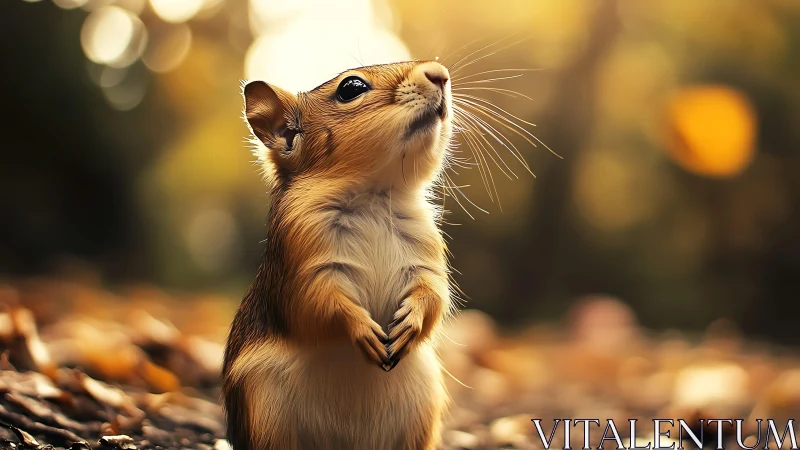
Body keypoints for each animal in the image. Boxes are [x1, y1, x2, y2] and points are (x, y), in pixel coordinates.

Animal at [222, 61, 454, 450]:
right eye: (351, 88)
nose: (439, 72)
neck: (374, 194)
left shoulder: (426, 258)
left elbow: (433, 294)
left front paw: (411, 321)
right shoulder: (302, 263)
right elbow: (318, 304)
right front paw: (363, 330)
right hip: (267, 417)